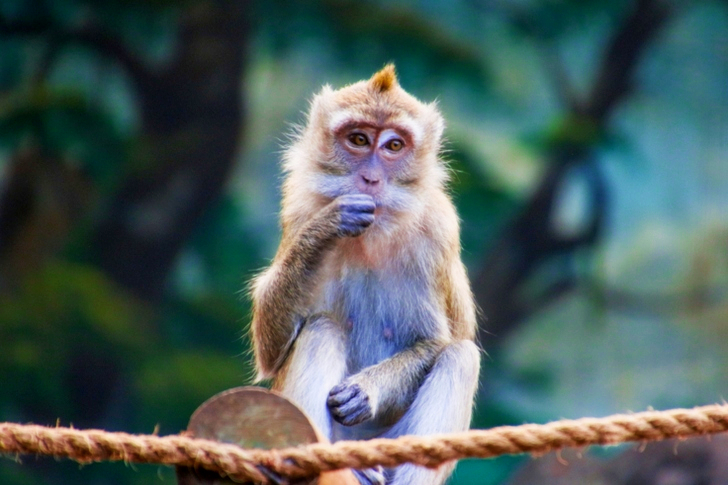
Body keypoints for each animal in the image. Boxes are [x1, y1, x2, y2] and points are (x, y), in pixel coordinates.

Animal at [250, 65, 480, 485]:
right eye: (359, 140)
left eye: (393, 146)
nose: (371, 179)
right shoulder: (299, 207)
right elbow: (270, 352)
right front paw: (329, 225)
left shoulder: (437, 233)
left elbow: (435, 342)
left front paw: (366, 391)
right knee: (322, 328)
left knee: (461, 357)